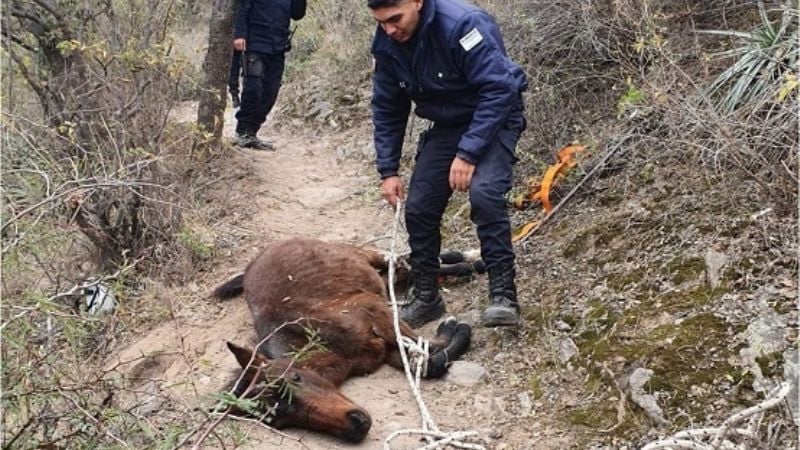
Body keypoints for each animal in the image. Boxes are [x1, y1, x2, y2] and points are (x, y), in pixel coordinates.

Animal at [213, 237, 472, 442]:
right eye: (279, 420)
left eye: (295, 377)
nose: (356, 424)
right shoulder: (382, 348)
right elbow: (427, 361)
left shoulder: (376, 311)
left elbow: (429, 350)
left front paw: (454, 327)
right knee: (399, 270)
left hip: (359, 254)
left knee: (396, 260)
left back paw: (466, 261)